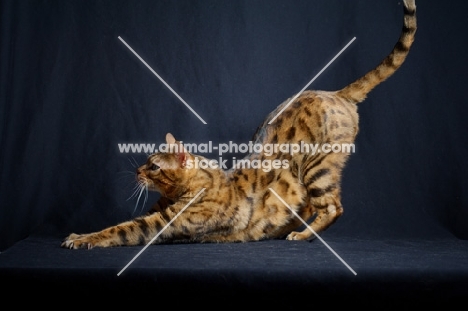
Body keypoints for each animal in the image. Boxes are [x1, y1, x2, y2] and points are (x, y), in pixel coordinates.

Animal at [62, 0, 416, 250]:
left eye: (153, 167)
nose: (136, 171)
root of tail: (334, 92)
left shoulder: (162, 222)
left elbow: (120, 230)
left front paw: (82, 239)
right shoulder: (158, 212)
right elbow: (117, 224)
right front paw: (80, 234)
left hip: (318, 167)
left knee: (333, 207)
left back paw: (303, 236)